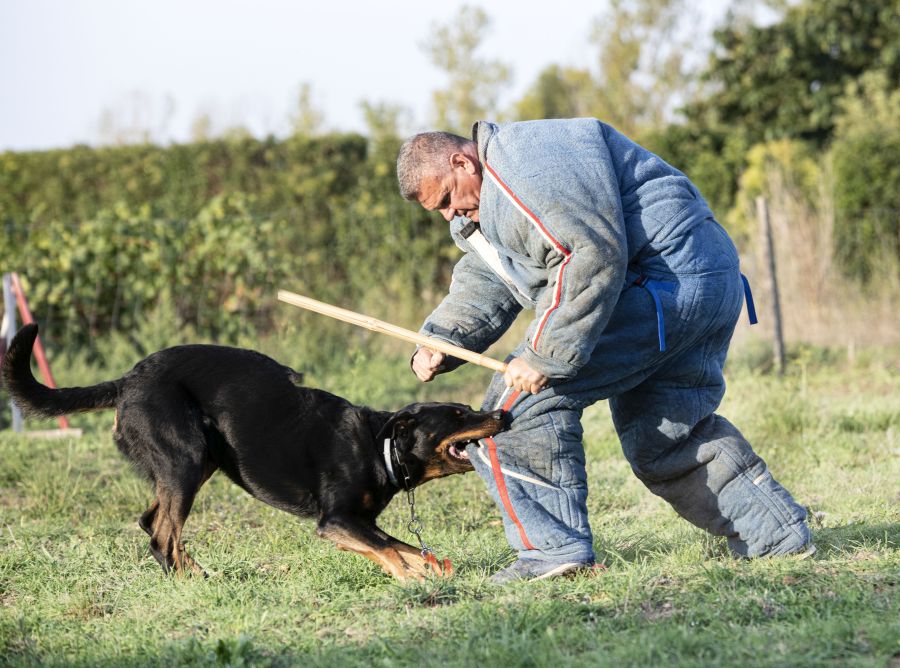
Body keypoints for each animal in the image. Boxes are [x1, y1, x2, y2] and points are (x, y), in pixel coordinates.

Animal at [1, 324, 506, 580]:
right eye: (458, 414)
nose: (501, 416)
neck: (380, 446)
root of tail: (126, 381)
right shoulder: (336, 521)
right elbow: (390, 551)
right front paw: (413, 580)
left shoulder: (358, 521)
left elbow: (402, 546)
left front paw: (433, 569)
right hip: (185, 459)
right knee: (163, 535)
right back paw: (191, 583)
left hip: (198, 461)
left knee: (153, 524)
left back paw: (197, 573)